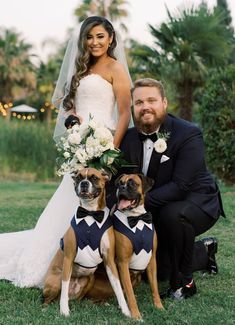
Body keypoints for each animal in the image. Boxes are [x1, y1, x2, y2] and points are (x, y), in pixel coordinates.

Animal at [43, 167, 129, 316]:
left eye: (94, 178)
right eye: (78, 177)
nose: (84, 183)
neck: (90, 214)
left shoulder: (109, 261)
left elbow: (117, 287)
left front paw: (126, 310)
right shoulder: (69, 258)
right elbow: (64, 287)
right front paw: (64, 311)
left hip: (90, 278)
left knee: (80, 299)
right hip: (55, 280)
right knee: (50, 298)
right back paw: (46, 307)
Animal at [113, 173, 162, 318]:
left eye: (132, 184)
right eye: (119, 183)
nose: (121, 187)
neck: (137, 218)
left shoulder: (152, 260)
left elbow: (154, 287)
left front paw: (159, 306)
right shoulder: (122, 263)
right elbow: (130, 294)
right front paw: (135, 315)